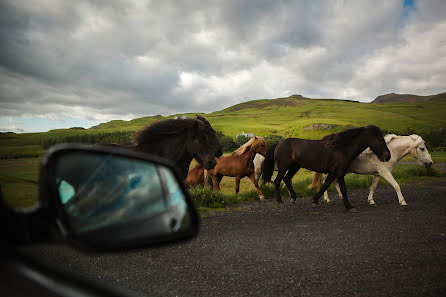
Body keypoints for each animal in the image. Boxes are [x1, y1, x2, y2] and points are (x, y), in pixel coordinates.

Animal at [262, 126, 390, 212]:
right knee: (277, 181)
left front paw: (315, 201)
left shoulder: (333, 172)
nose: (388, 156)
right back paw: (280, 202)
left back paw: (293, 198)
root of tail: (279, 143)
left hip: (295, 167)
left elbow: (325, 185)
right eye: (380, 140)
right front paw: (349, 206)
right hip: (283, 167)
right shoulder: (340, 173)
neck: (342, 148)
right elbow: (343, 189)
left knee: (287, 179)